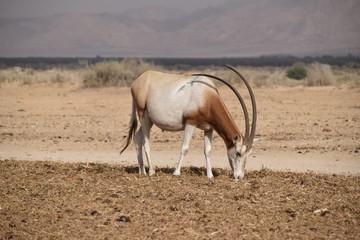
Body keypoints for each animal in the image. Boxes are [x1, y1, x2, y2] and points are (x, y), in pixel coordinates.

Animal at [122, 65, 258, 178]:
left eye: (249, 154)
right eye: (238, 153)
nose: (239, 176)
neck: (207, 96)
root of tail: (139, 80)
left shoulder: (209, 128)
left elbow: (208, 150)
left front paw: (210, 175)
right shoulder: (190, 123)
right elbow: (185, 148)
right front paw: (176, 172)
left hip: (149, 120)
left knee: (137, 137)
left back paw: (142, 171)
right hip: (143, 115)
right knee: (146, 143)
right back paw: (151, 171)